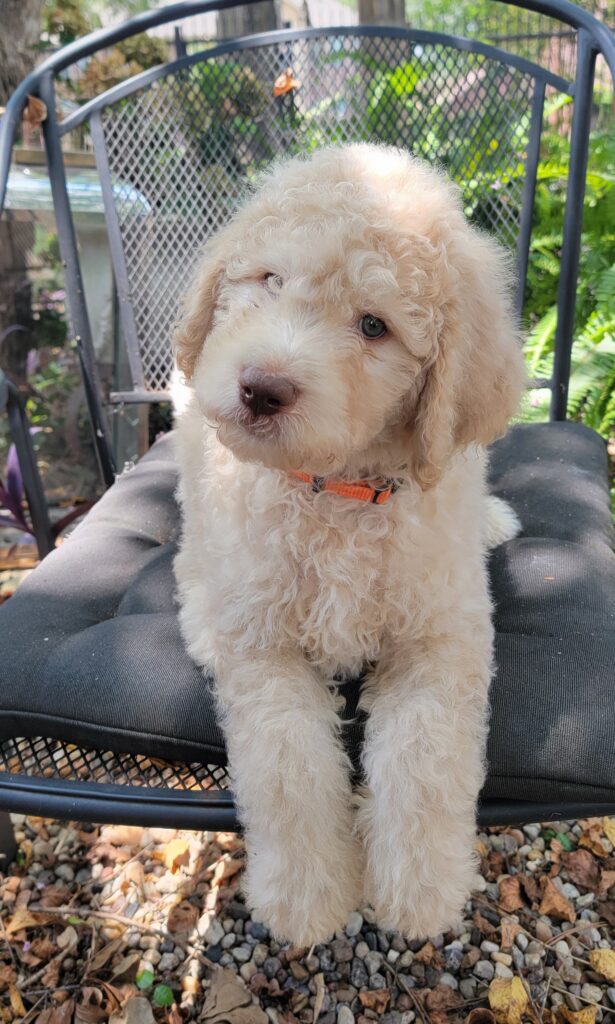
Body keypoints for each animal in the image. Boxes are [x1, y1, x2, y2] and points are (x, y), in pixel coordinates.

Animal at [171, 142, 521, 942]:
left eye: (372, 326)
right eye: (269, 280)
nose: (261, 388)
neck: (338, 493)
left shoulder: (440, 639)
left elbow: (426, 758)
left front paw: (419, 892)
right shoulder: (265, 650)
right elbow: (287, 769)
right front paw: (306, 899)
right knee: (188, 558)